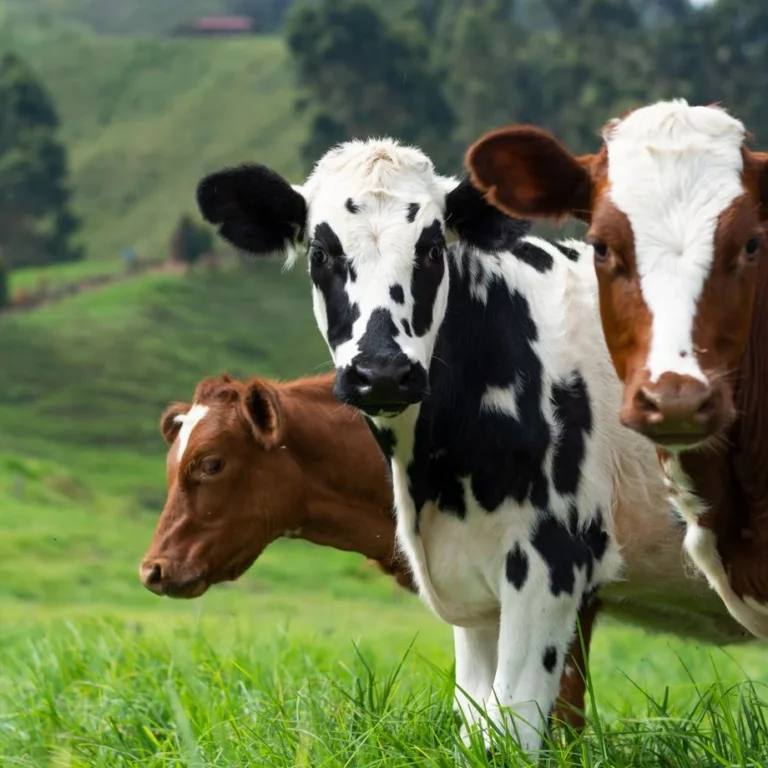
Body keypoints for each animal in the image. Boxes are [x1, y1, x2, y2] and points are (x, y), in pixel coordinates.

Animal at [193, 139, 751, 755]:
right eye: (321, 252)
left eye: (433, 247)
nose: (381, 372)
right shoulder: (476, 596)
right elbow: (475, 724)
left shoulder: (552, 564)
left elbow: (511, 727)